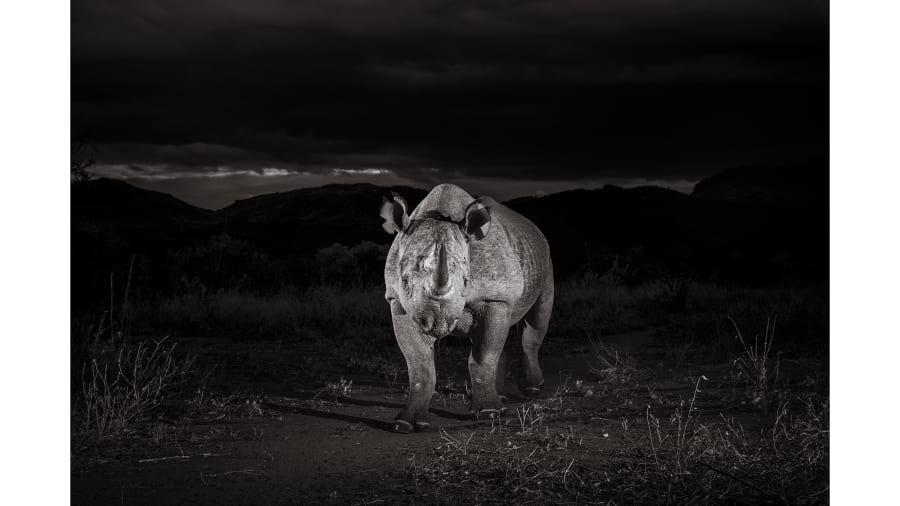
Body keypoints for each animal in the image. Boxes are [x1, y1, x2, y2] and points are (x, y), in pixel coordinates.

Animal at [380, 183, 554, 433]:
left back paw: (530, 391)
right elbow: (419, 363)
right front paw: (405, 423)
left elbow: (483, 356)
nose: (436, 322)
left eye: (465, 282)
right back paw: (501, 400)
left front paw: (489, 415)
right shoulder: (398, 302)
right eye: (404, 281)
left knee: (537, 320)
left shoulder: (495, 297)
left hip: (545, 260)